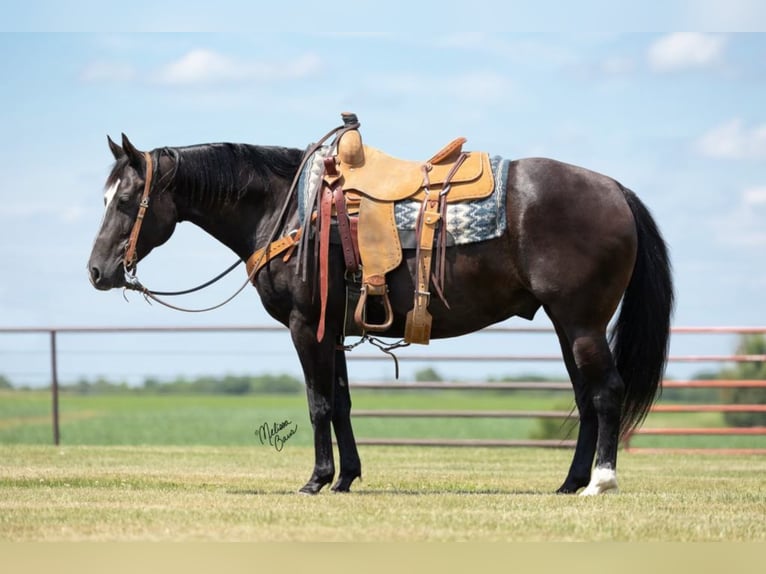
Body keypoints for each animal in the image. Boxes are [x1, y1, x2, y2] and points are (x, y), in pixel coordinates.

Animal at [88, 128, 672, 498]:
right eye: (105, 197)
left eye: (127, 201)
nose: (97, 271)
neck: (287, 210)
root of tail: (614, 190)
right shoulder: (332, 332)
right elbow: (342, 404)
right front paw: (346, 477)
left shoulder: (305, 327)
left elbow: (319, 404)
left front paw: (316, 479)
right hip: (566, 324)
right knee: (586, 399)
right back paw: (570, 482)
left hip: (582, 322)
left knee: (606, 393)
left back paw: (601, 481)